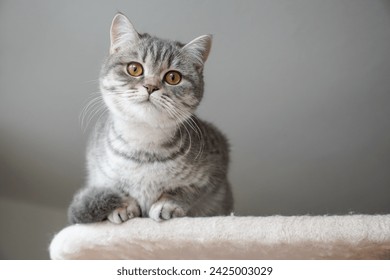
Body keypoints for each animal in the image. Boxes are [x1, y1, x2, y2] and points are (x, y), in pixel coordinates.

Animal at [68, 12, 233, 223]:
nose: (151, 86)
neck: (143, 146)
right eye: (134, 68)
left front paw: (168, 204)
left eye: (173, 77)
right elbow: (118, 189)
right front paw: (123, 205)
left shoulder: (215, 169)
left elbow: (186, 191)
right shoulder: (99, 174)